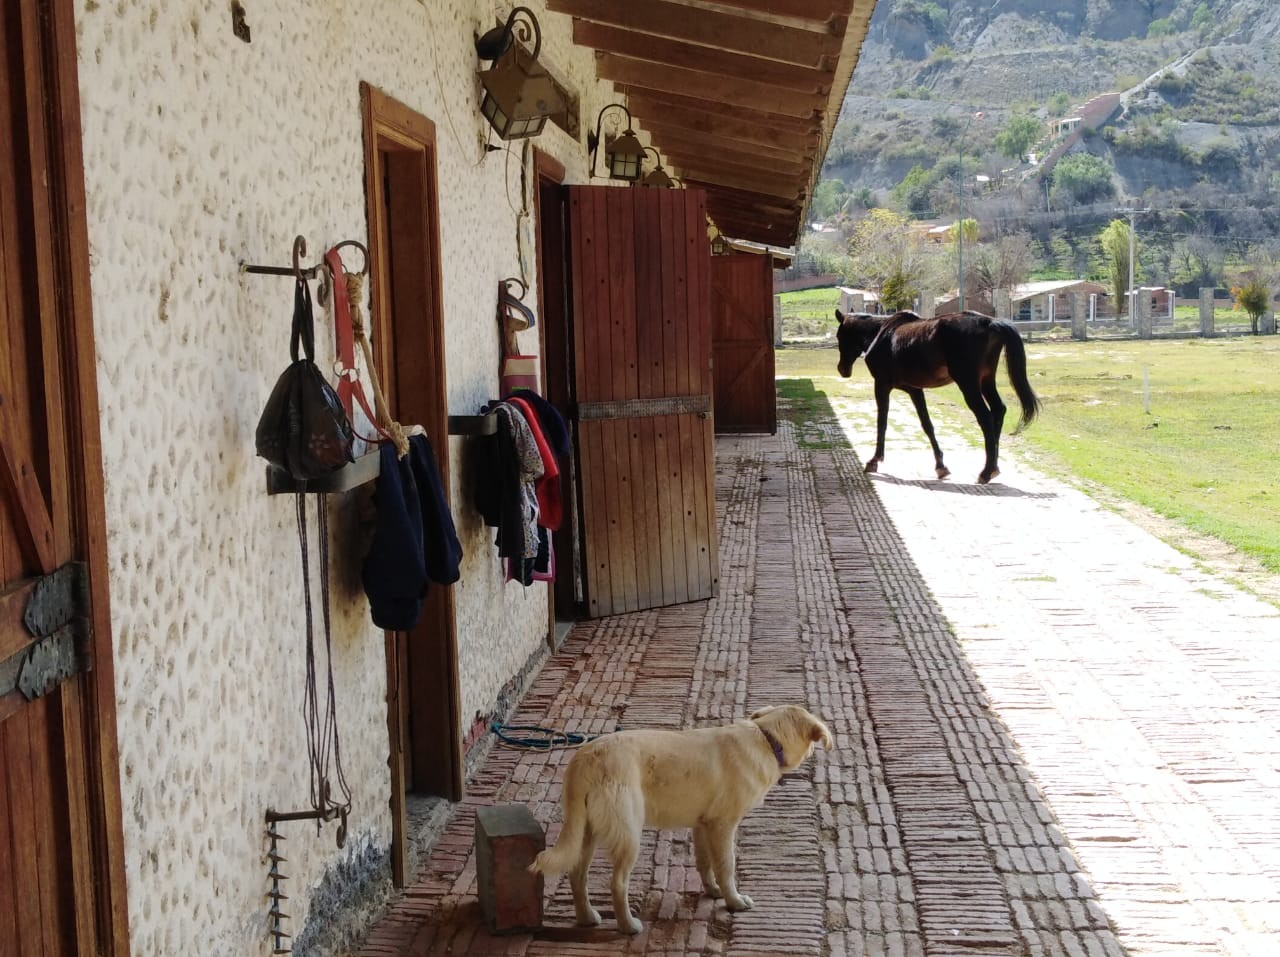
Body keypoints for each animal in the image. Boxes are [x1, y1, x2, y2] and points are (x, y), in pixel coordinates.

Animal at [527, 701, 829, 936]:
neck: (766, 738)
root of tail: (587, 757)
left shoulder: (703, 824)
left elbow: (705, 864)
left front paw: (713, 891)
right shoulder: (723, 825)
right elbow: (726, 867)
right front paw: (733, 901)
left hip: (586, 830)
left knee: (577, 874)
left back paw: (586, 918)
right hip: (628, 835)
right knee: (617, 884)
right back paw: (628, 926)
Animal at [839, 308, 1039, 481]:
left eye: (840, 336)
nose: (842, 369)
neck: (881, 334)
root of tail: (989, 322)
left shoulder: (881, 385)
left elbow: (882, 423)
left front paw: (874, 461)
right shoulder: (914, 389)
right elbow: (927, 424)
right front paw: (941, 466)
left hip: (968, 384)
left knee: (985, 417)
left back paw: (986, 472)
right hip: (986, 380)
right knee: (998, 410)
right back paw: (993, 466)